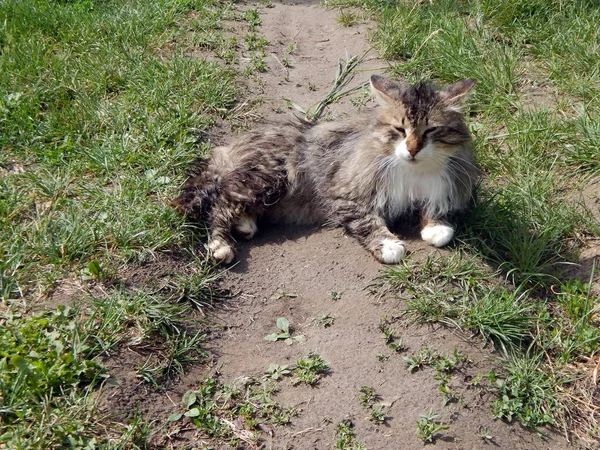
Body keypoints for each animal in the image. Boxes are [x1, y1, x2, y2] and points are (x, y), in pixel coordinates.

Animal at [173, 74, 478, 264]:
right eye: (400, 130)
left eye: (431, 131)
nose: (412, 150)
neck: (413, 172)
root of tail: (231, 147)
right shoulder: (346, 193)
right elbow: (369, 222)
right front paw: (389, 245)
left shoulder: (443, 187)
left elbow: (437, 212)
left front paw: (436, 228)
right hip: (267, 178)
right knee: (220, 204)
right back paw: (221, 246)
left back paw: (245, 225)